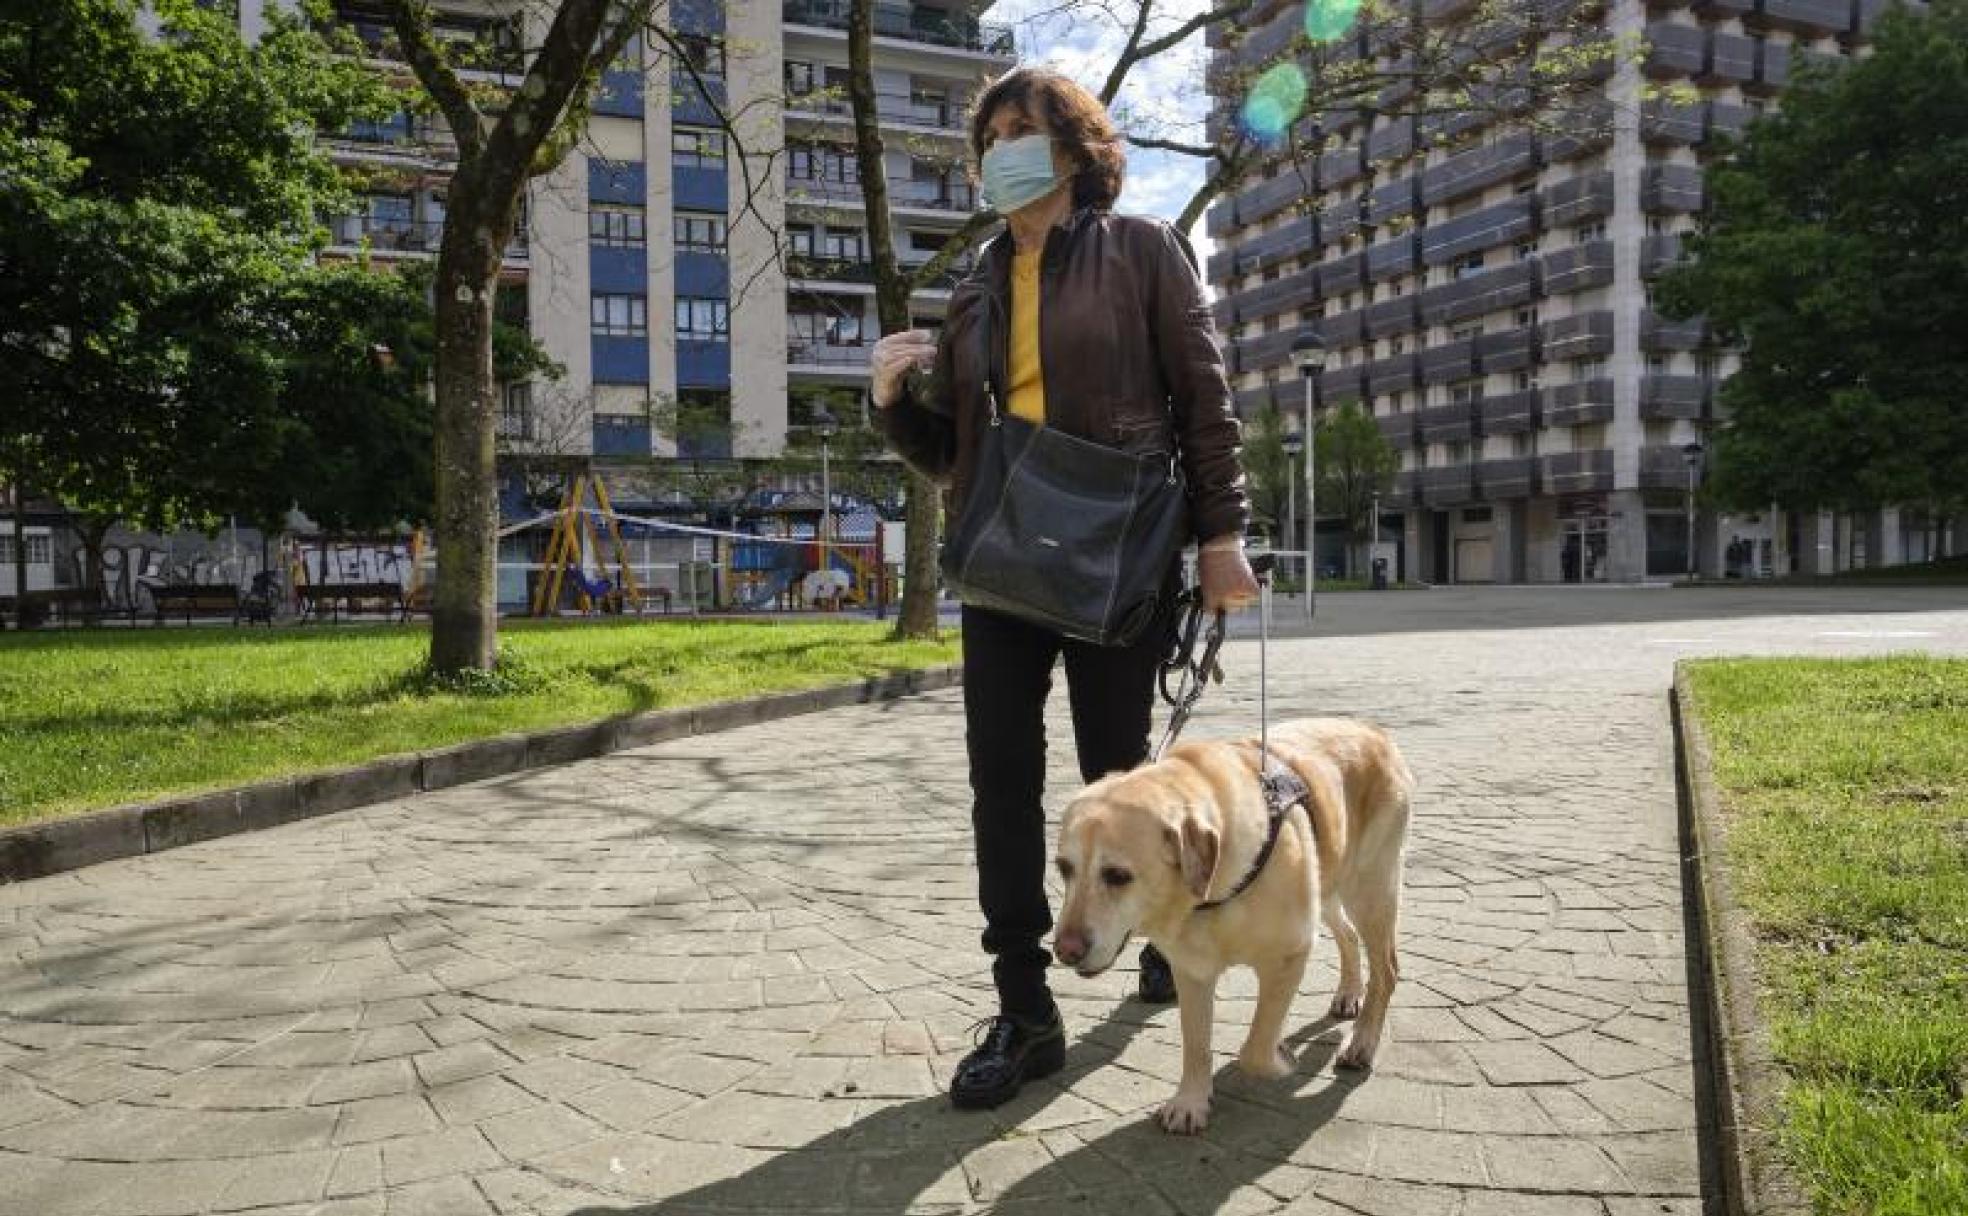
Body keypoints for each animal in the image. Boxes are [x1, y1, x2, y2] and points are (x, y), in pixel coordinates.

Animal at [1054, 716, 1409, 1133]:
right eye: (1063, 868)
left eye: (1117, 876)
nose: (1064, 950)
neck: (1207, 898)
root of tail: (1368, 726)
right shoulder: (1190, 971)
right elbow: (1195, 1044)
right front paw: (1190, 1101)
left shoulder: (1289, 954)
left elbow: (1254, 1049)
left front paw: (1281, 1060)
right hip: (1329, 881)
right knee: (1348, 936)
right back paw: (1348, 994)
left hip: (1370, 889)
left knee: (1386, 970)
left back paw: (1361, 1042)